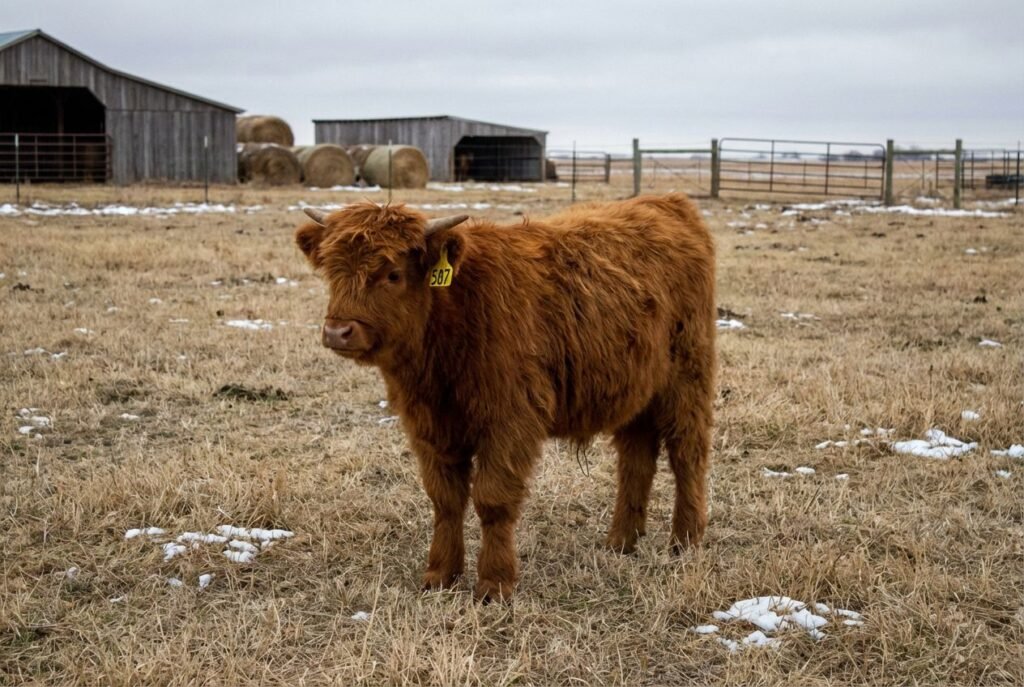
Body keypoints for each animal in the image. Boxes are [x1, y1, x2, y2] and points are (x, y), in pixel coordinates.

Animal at [295, 194, 716, 601]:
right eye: (331, 271)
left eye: (392, 274)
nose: (338, 331)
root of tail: (667, 201)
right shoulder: (429, 425)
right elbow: (445, 499)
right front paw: (441, 574)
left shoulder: (509, 422)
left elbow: (492, 499)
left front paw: (494, 584)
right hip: (636, 393)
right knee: (636, 460)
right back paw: (622, 541)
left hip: (687, 381)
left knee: (687, 455)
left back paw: (685, 540)